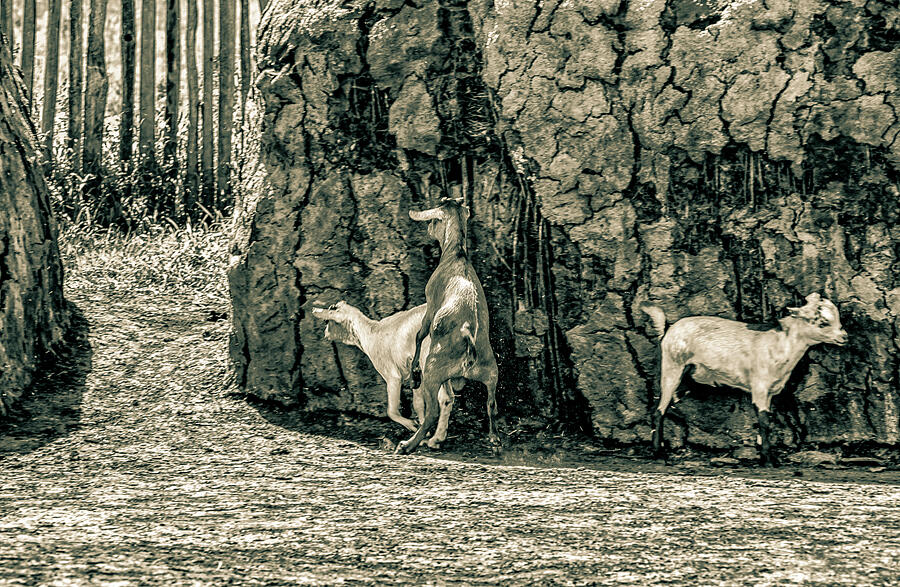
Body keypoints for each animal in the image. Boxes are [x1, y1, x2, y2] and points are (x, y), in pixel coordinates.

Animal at [311, 301, 457, 447]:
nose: (313, 309)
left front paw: (412, 426)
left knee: (443, 398)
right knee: (448, 398)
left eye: (332, 310)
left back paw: (435, 438)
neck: (371, 333)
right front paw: (421, 431)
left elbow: (391, 411)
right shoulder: (415, 373)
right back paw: (437, 438)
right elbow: (418, 404)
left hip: (430, 359)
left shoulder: (392, 375)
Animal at [400, 198, 500, 455]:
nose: (428, 229)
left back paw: (407, 444)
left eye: (435, 220)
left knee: (432, 411)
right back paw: (495, 441)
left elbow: (419, 335)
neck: (457, 255)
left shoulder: (431, 306)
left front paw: (412, 376)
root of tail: (468, 335)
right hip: (491, 374)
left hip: (433, 372)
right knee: (491, 405)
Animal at [641, 293, 847, 466]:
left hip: (686, 380)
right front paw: (768, 460)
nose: (844, 337)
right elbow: (764, 421)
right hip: (672, 368)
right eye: (823, 322)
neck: (781, 344)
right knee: (658, 411)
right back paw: (659, 455)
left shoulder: (770, 391)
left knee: (664, 407)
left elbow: (765, 419)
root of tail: (668, 329)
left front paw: (765, 456)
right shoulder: (759, 386)